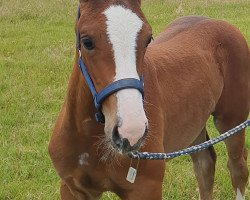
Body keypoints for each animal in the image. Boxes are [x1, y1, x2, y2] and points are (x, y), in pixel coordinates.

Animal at [48, 0, 250, 199]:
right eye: (87, 41)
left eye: (148, 39)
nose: (131, 132)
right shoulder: (72, 188)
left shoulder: (146, 189)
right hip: (194, 124)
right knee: (204, 164)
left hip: (231, 121)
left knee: (237, 167)